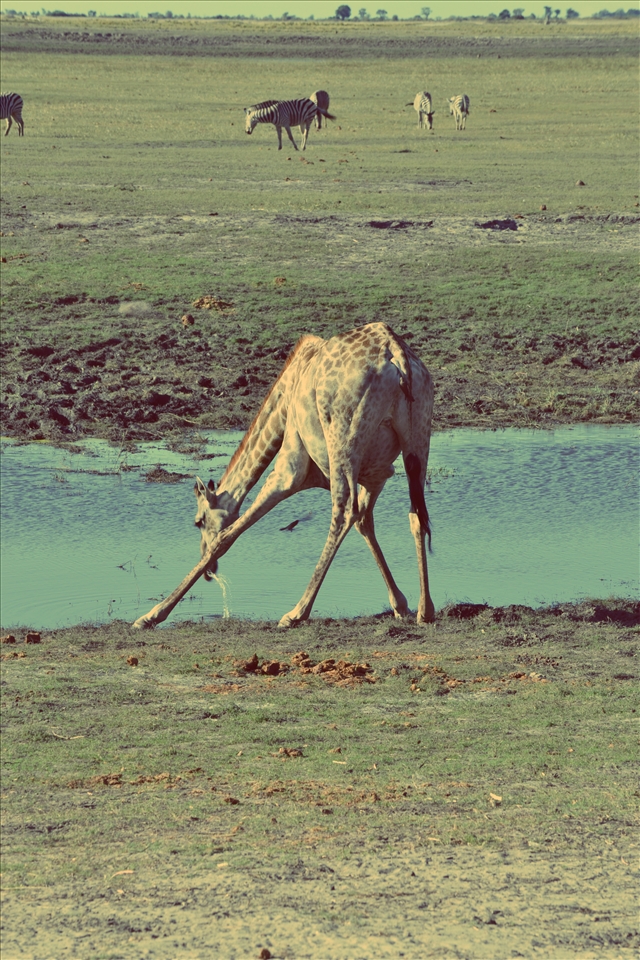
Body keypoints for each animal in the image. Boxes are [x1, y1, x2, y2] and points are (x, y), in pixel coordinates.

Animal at [132, 322, 435, 630]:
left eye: (198, 521)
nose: (210, 573)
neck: (287, 394)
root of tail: (397, 357)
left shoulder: (290, 468)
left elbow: (226, 536)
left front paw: (150, 616)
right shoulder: (378, 474)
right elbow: (366, 523)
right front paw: (400, 605)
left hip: (343, 441)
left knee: (343, 512)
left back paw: (296, 612)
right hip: (419, 439)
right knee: (415, 515)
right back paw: (426, 610)